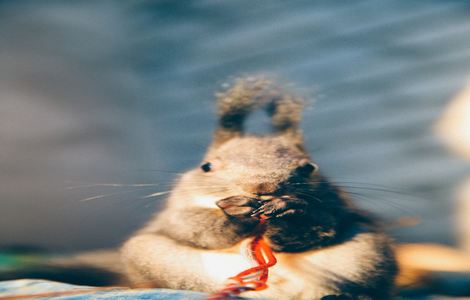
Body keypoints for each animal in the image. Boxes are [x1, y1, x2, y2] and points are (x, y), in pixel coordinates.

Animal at [120, 76, 396, 298]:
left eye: (309, 167)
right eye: (206, 167)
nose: (262, 187)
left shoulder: (333, 204)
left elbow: (321, 225)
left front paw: (287, 212)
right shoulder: (173, 211)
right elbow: (190, 225)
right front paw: (235, 214)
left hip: (365, 254)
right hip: (155, 259)